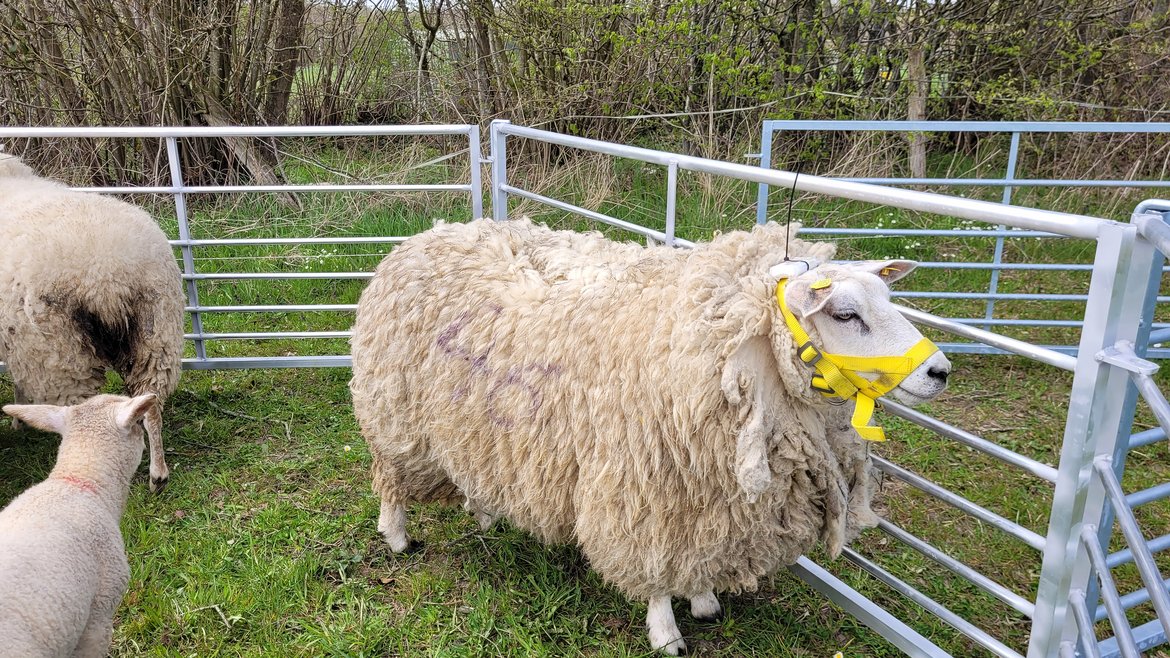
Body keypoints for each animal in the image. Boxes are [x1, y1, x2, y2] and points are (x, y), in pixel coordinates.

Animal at [0, 153, 184, 493]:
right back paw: (158, 475)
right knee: (151, 402)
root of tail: (107, 273)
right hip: (157, 330)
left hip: (60, 353)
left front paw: (18, 418)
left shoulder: (21, 342)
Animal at [349, 217, 952, 654]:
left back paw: (485, 511)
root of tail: (424, 235)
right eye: (845, 315)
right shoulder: (647, 489)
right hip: (396, 416)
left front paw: (704, 599)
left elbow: (700, 554)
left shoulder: (710, 496)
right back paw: (397, 536)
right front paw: (666, 630)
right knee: (390, 479)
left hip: (478, 424)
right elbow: (655, 566)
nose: (939, 371)